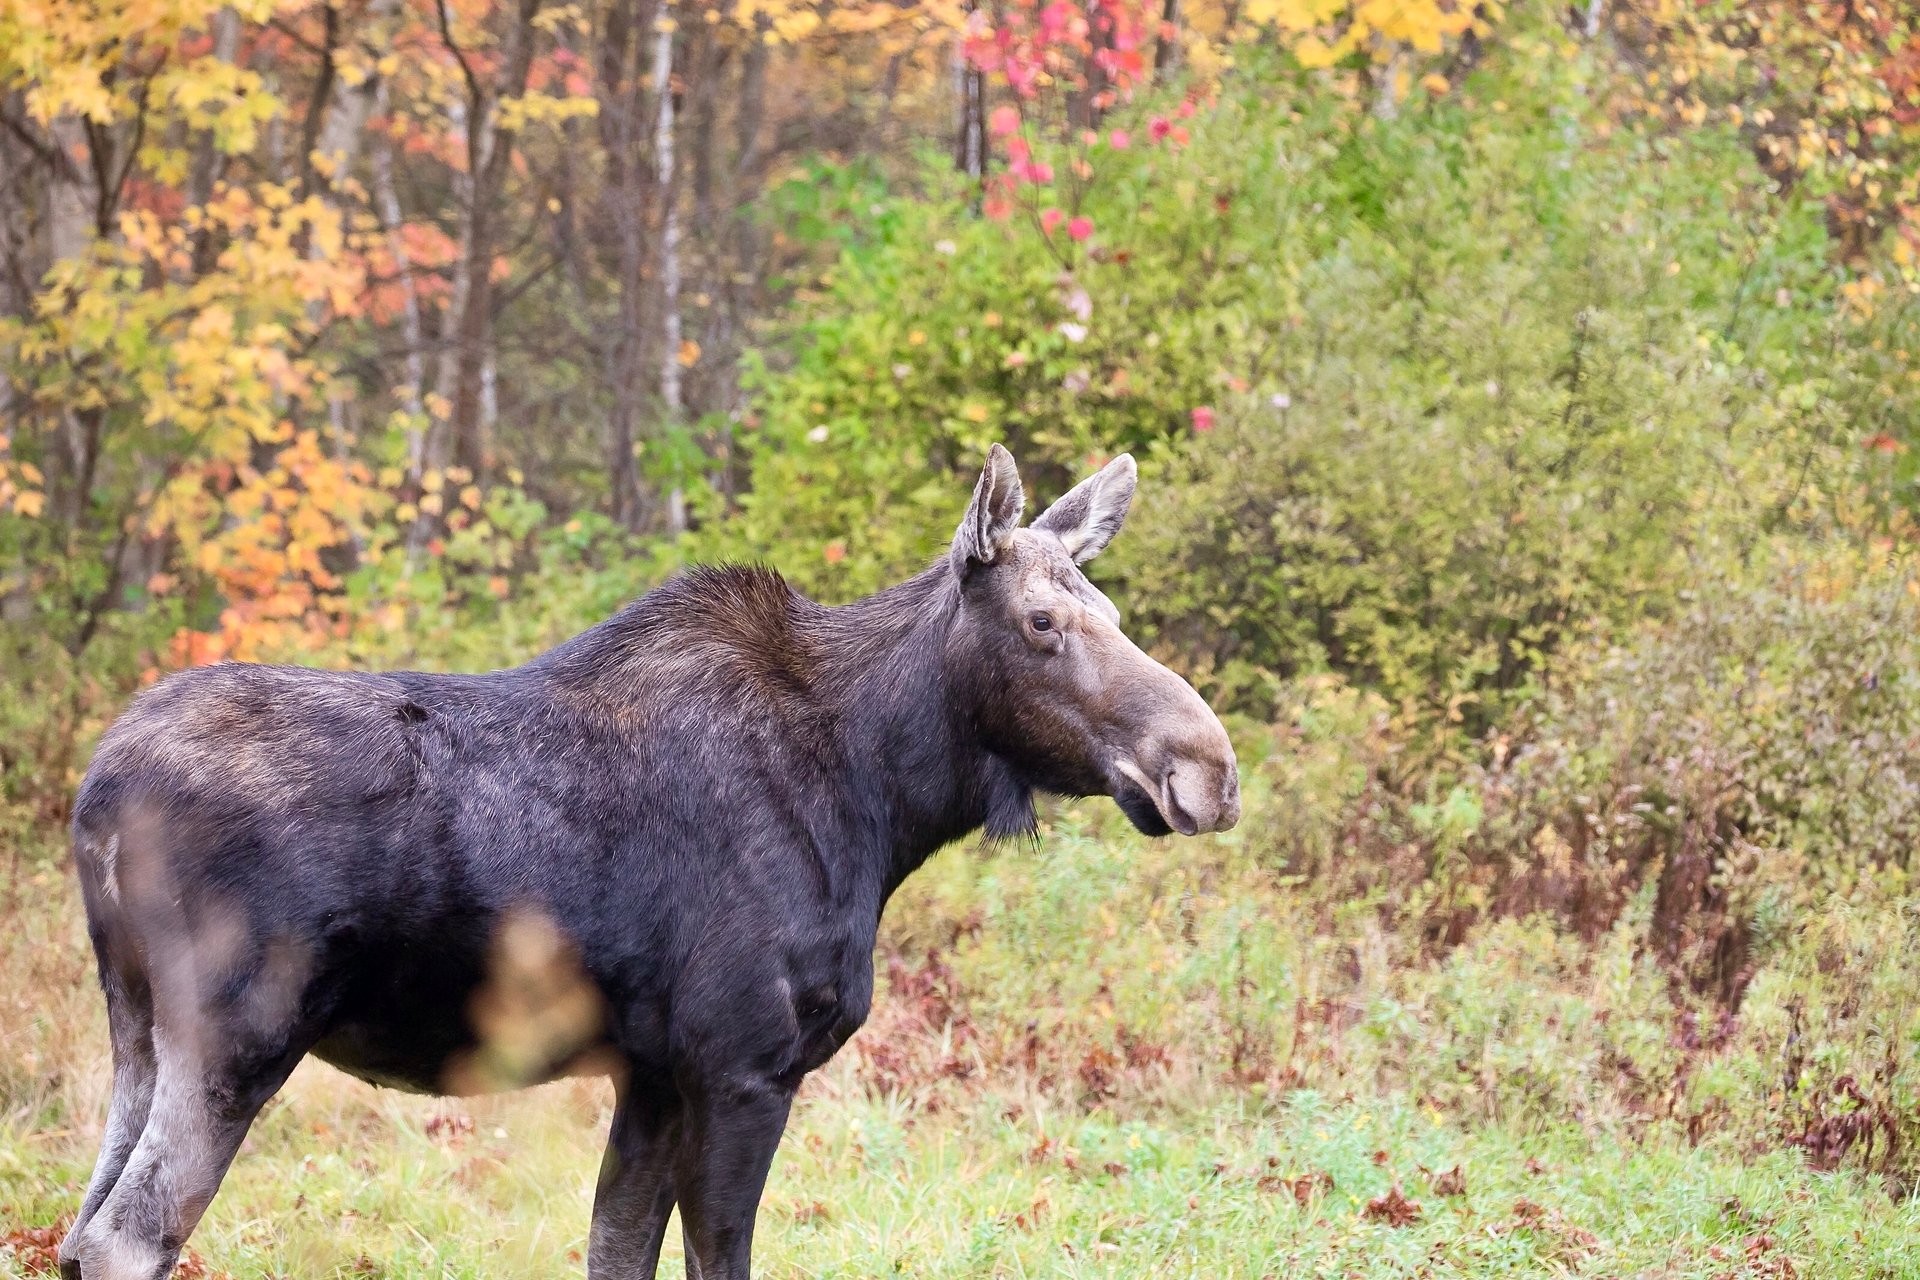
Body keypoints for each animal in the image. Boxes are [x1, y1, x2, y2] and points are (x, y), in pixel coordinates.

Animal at [60, 445, 1236, 1274]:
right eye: (1040, 620)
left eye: (1110, 610)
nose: (1208, 767)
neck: (882, 799)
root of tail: (95, 797)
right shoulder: (744, 1065)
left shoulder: (655, 1072)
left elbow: (615, 1250)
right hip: (238, 1031)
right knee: (127, 1238)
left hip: (137, 1027)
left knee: (78, 1231)